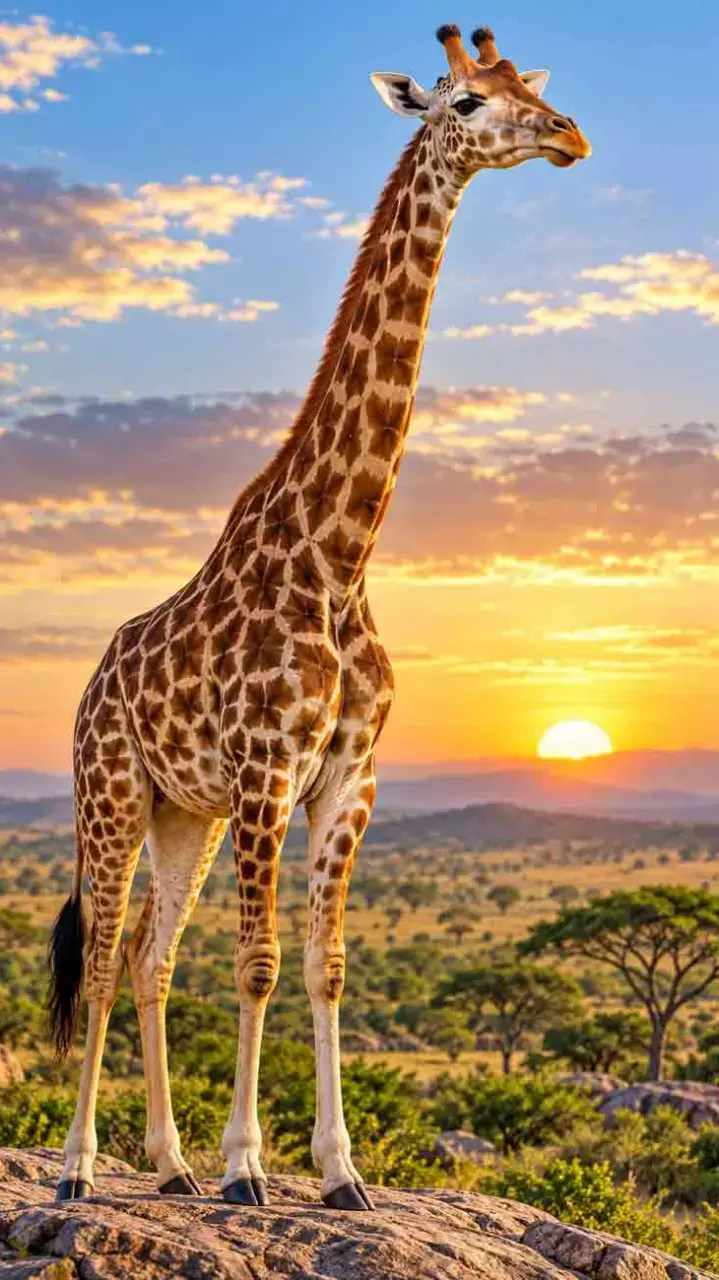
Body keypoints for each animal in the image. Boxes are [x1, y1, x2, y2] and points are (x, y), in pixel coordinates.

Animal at [48, 23, 590, 1212]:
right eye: (465, 103)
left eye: (529, 85)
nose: (569, 135)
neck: (339, 555)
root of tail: (90, 684)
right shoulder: (265, 769)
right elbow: (255, 964)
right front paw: (250, 1167)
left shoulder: (346, 778)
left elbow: (323, 964)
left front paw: (339, 1173)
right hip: (111, 790)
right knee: (104, 953)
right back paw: (79, 1168)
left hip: (183, 813)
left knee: (151, 952)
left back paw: (167, 1164)